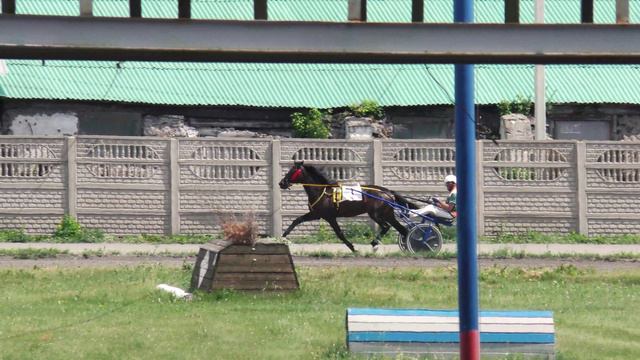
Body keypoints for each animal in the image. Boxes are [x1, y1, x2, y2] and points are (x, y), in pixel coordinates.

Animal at [278, 162, 418, 252]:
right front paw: (283, 236)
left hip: (376, 214)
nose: (281, 183)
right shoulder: (317, 215)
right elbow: (297, 220)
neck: (323, 191)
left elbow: (339, 234)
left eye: (292, 171)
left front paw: (353, 248)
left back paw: (375, 244)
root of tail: (388, 192)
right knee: (402, 229)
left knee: (386, 226)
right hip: (388, 214)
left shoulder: (327, 216)